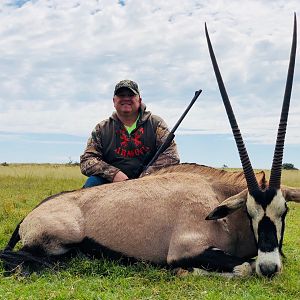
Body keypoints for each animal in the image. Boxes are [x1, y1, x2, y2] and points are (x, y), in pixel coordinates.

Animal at [0, 14, 298, 276]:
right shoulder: (186, 250)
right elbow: (242, 267)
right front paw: (186, 271)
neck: (215, 197)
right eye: (249, 212)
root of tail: (31, 215)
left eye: (284, 211)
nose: (269, 268)